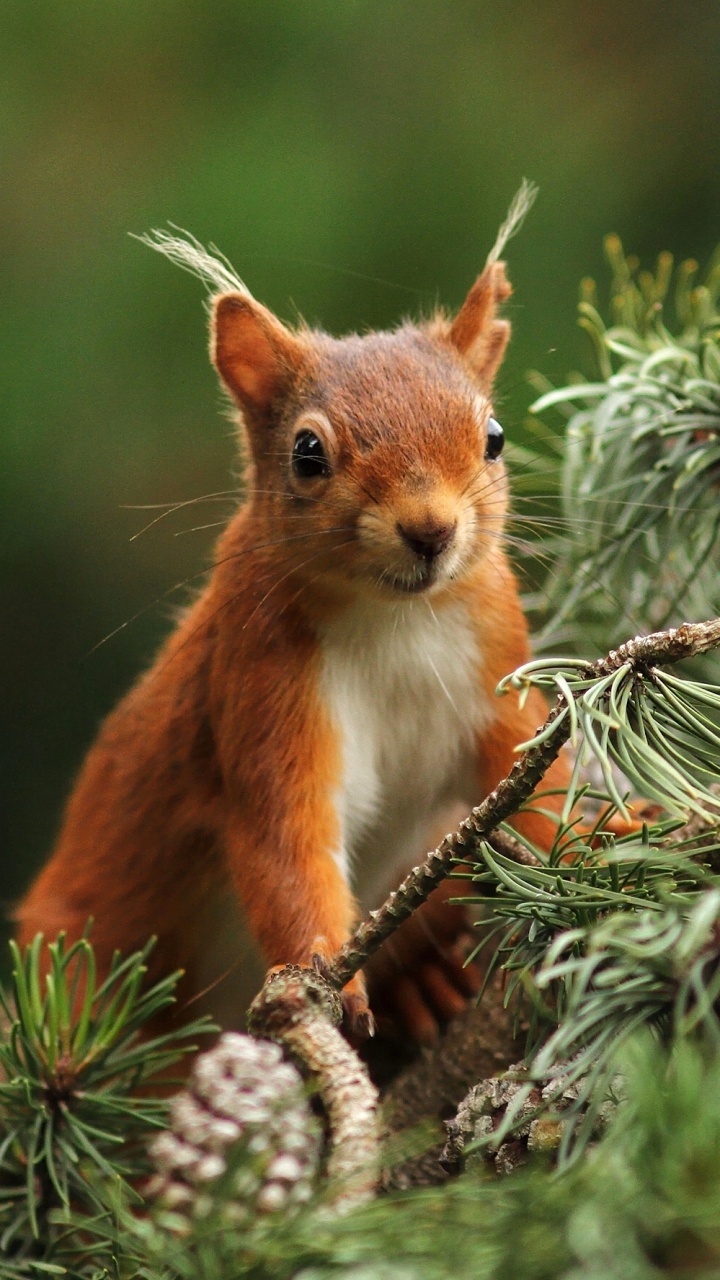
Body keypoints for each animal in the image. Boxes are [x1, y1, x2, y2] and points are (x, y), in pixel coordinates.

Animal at [16, 218, 570, 1046]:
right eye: (308, 452)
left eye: (494, 437)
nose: (430, 530)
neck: (395, 620)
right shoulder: (261, 692)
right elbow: (286, 846)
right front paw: (325, 980)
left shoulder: (497, 669)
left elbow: (538, 785)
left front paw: (618, 835)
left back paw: (428, 978)